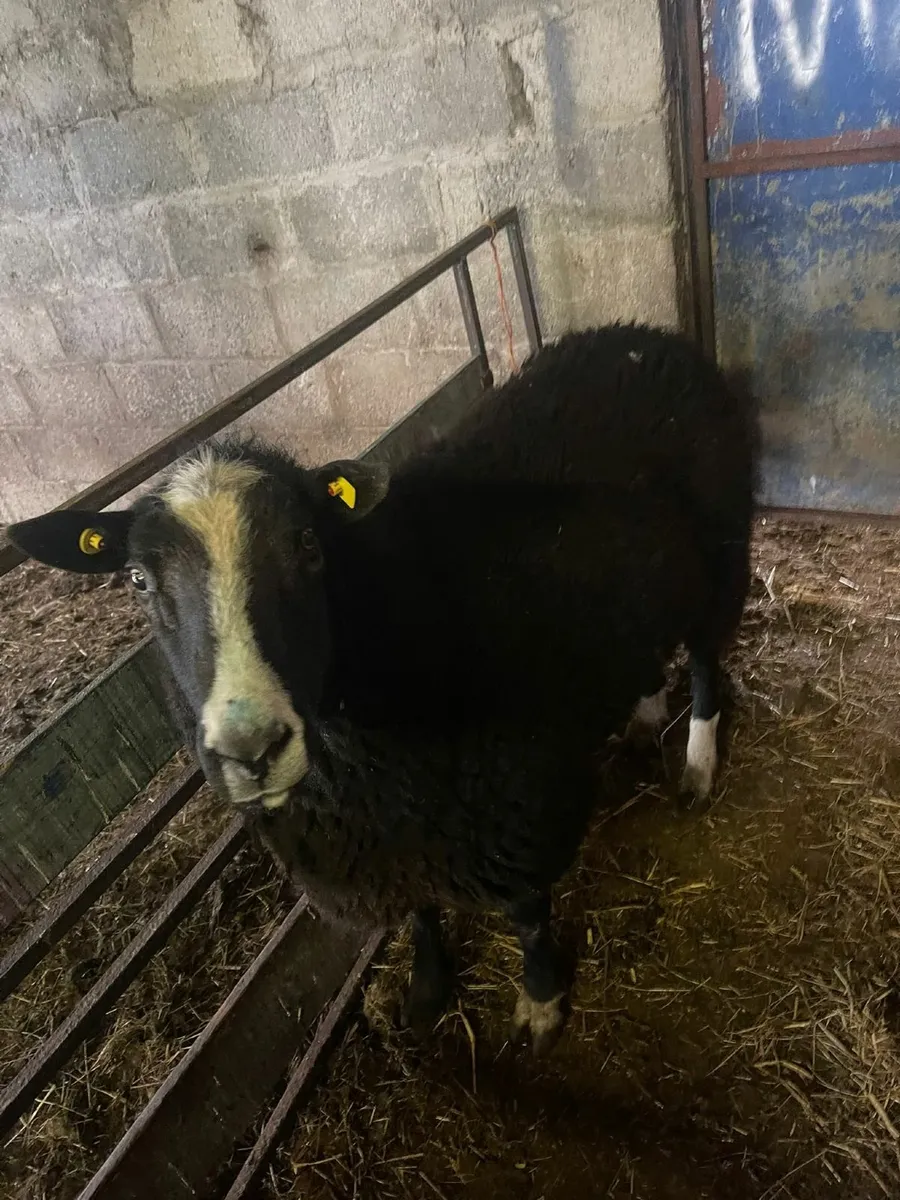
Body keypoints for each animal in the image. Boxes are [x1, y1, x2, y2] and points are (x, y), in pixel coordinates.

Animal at [8, 322, 757, 1054]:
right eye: (137, 580)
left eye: (309, 546)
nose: (251, 751)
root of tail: (648, 336)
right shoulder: (379, 843)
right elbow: (417, 911)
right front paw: (426, 992)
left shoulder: (517, 796)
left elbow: (528, 914)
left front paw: (542, 1002)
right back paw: (643, 716)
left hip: (722, 550)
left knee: (704, 665)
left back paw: (697, 765)